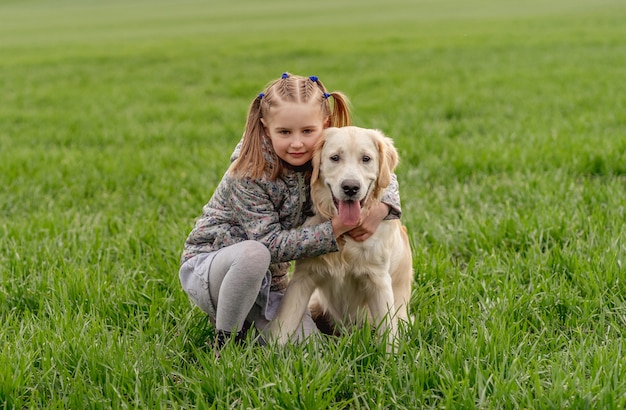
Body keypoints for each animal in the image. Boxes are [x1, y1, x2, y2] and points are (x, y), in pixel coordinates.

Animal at [266, 126, 410, 348]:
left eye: (366, 158)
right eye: (335, 158)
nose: (350, 187)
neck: (345, 236)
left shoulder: (378, 280)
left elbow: (388, 333)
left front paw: (392, 357)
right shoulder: (303, 277)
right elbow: (284, 323)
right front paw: (271, 353)